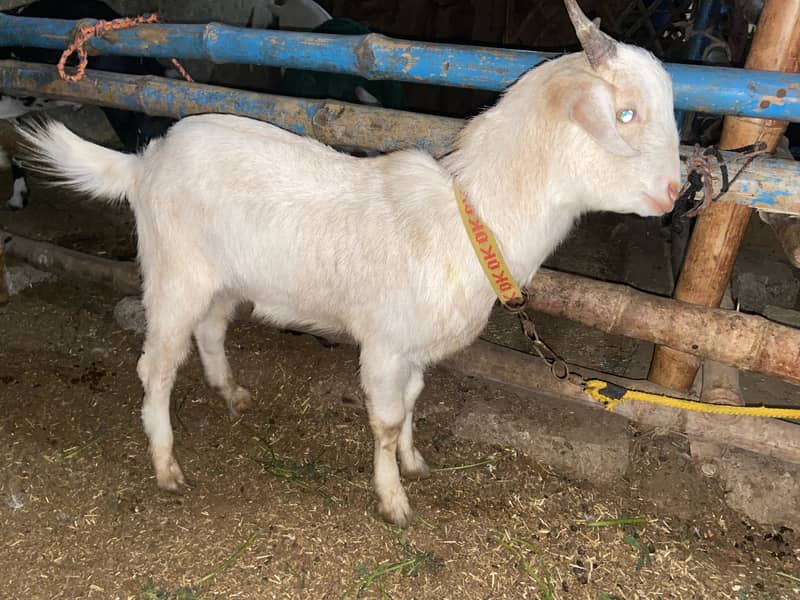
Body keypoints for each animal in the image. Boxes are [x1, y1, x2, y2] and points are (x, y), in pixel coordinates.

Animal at [18, 0, 681, 527]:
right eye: (626, 114)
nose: (679, 190)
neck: (469, 216)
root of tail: (143, 162)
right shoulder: (385, 344)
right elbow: (385, 420)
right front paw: (392, 501)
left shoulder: (413, 348)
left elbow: (413, 401)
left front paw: (413, 462)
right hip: (174, 274)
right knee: (155, 365)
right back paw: (166, 464)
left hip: (223, 278)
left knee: (210, 330)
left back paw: (232, 394)